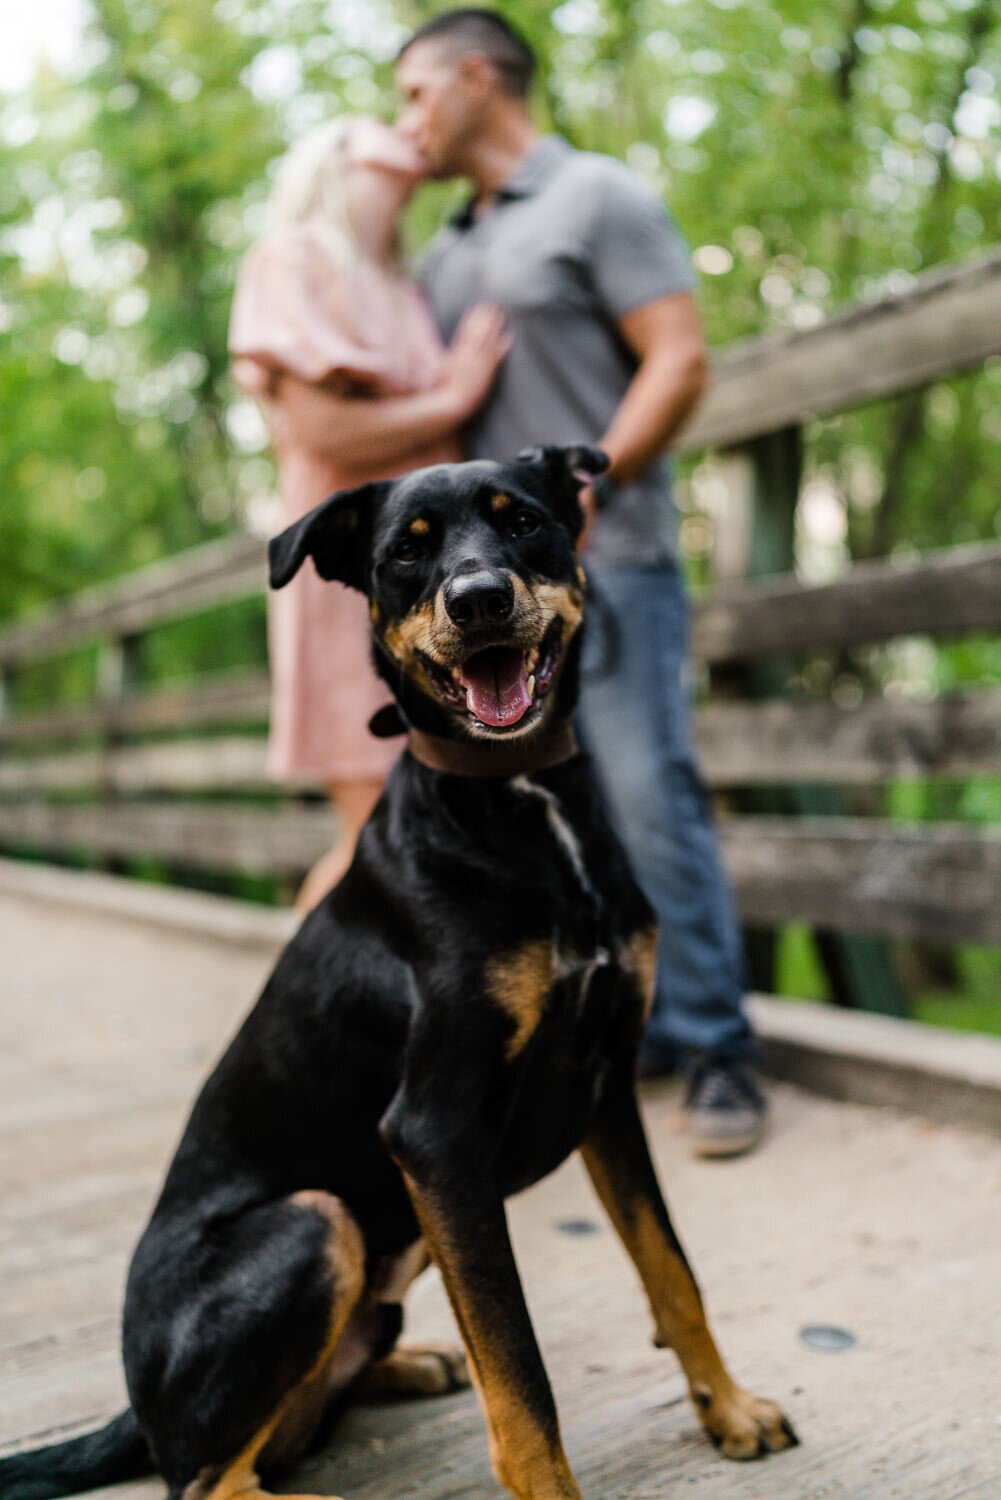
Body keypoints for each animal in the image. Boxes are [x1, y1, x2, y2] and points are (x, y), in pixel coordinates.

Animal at [1, 444, 798, 1500]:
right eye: (404, 556)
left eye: (521, 521)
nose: (479, 599)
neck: (518, 794)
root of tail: (139, 1409)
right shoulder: (435, 1135)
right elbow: (520, 1376)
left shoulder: (606, 1089)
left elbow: (671, 1270)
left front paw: (730, 1408)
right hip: (317, 1222)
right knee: (212, 1478)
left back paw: (410, 1363)